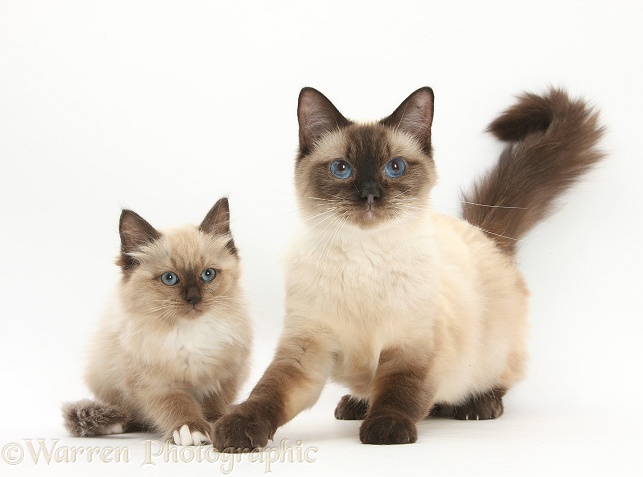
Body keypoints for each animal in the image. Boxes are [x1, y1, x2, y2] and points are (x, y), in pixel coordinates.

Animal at [63, 199, 252, 444]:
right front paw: (191, 429)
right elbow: (178, 405)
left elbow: (215, 406)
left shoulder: (224, 377)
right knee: (128, 415)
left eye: (208, 274)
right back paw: (113, 424)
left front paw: (217, 424)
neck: (189, 332)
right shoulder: (157, 385)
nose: (193, 299)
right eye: (169, 278)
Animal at [211, 86, 604, 450]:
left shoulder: (411, 347)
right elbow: (267, 393)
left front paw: (386, 431)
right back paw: (355, 405)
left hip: (490, 351)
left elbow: (398, 393)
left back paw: (477, 405)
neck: (363, 258)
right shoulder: (307, 348)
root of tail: (483, 234)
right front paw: (236, 430)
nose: (370, 194)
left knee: (488, 384)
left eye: (394, 167)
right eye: (342, 169)